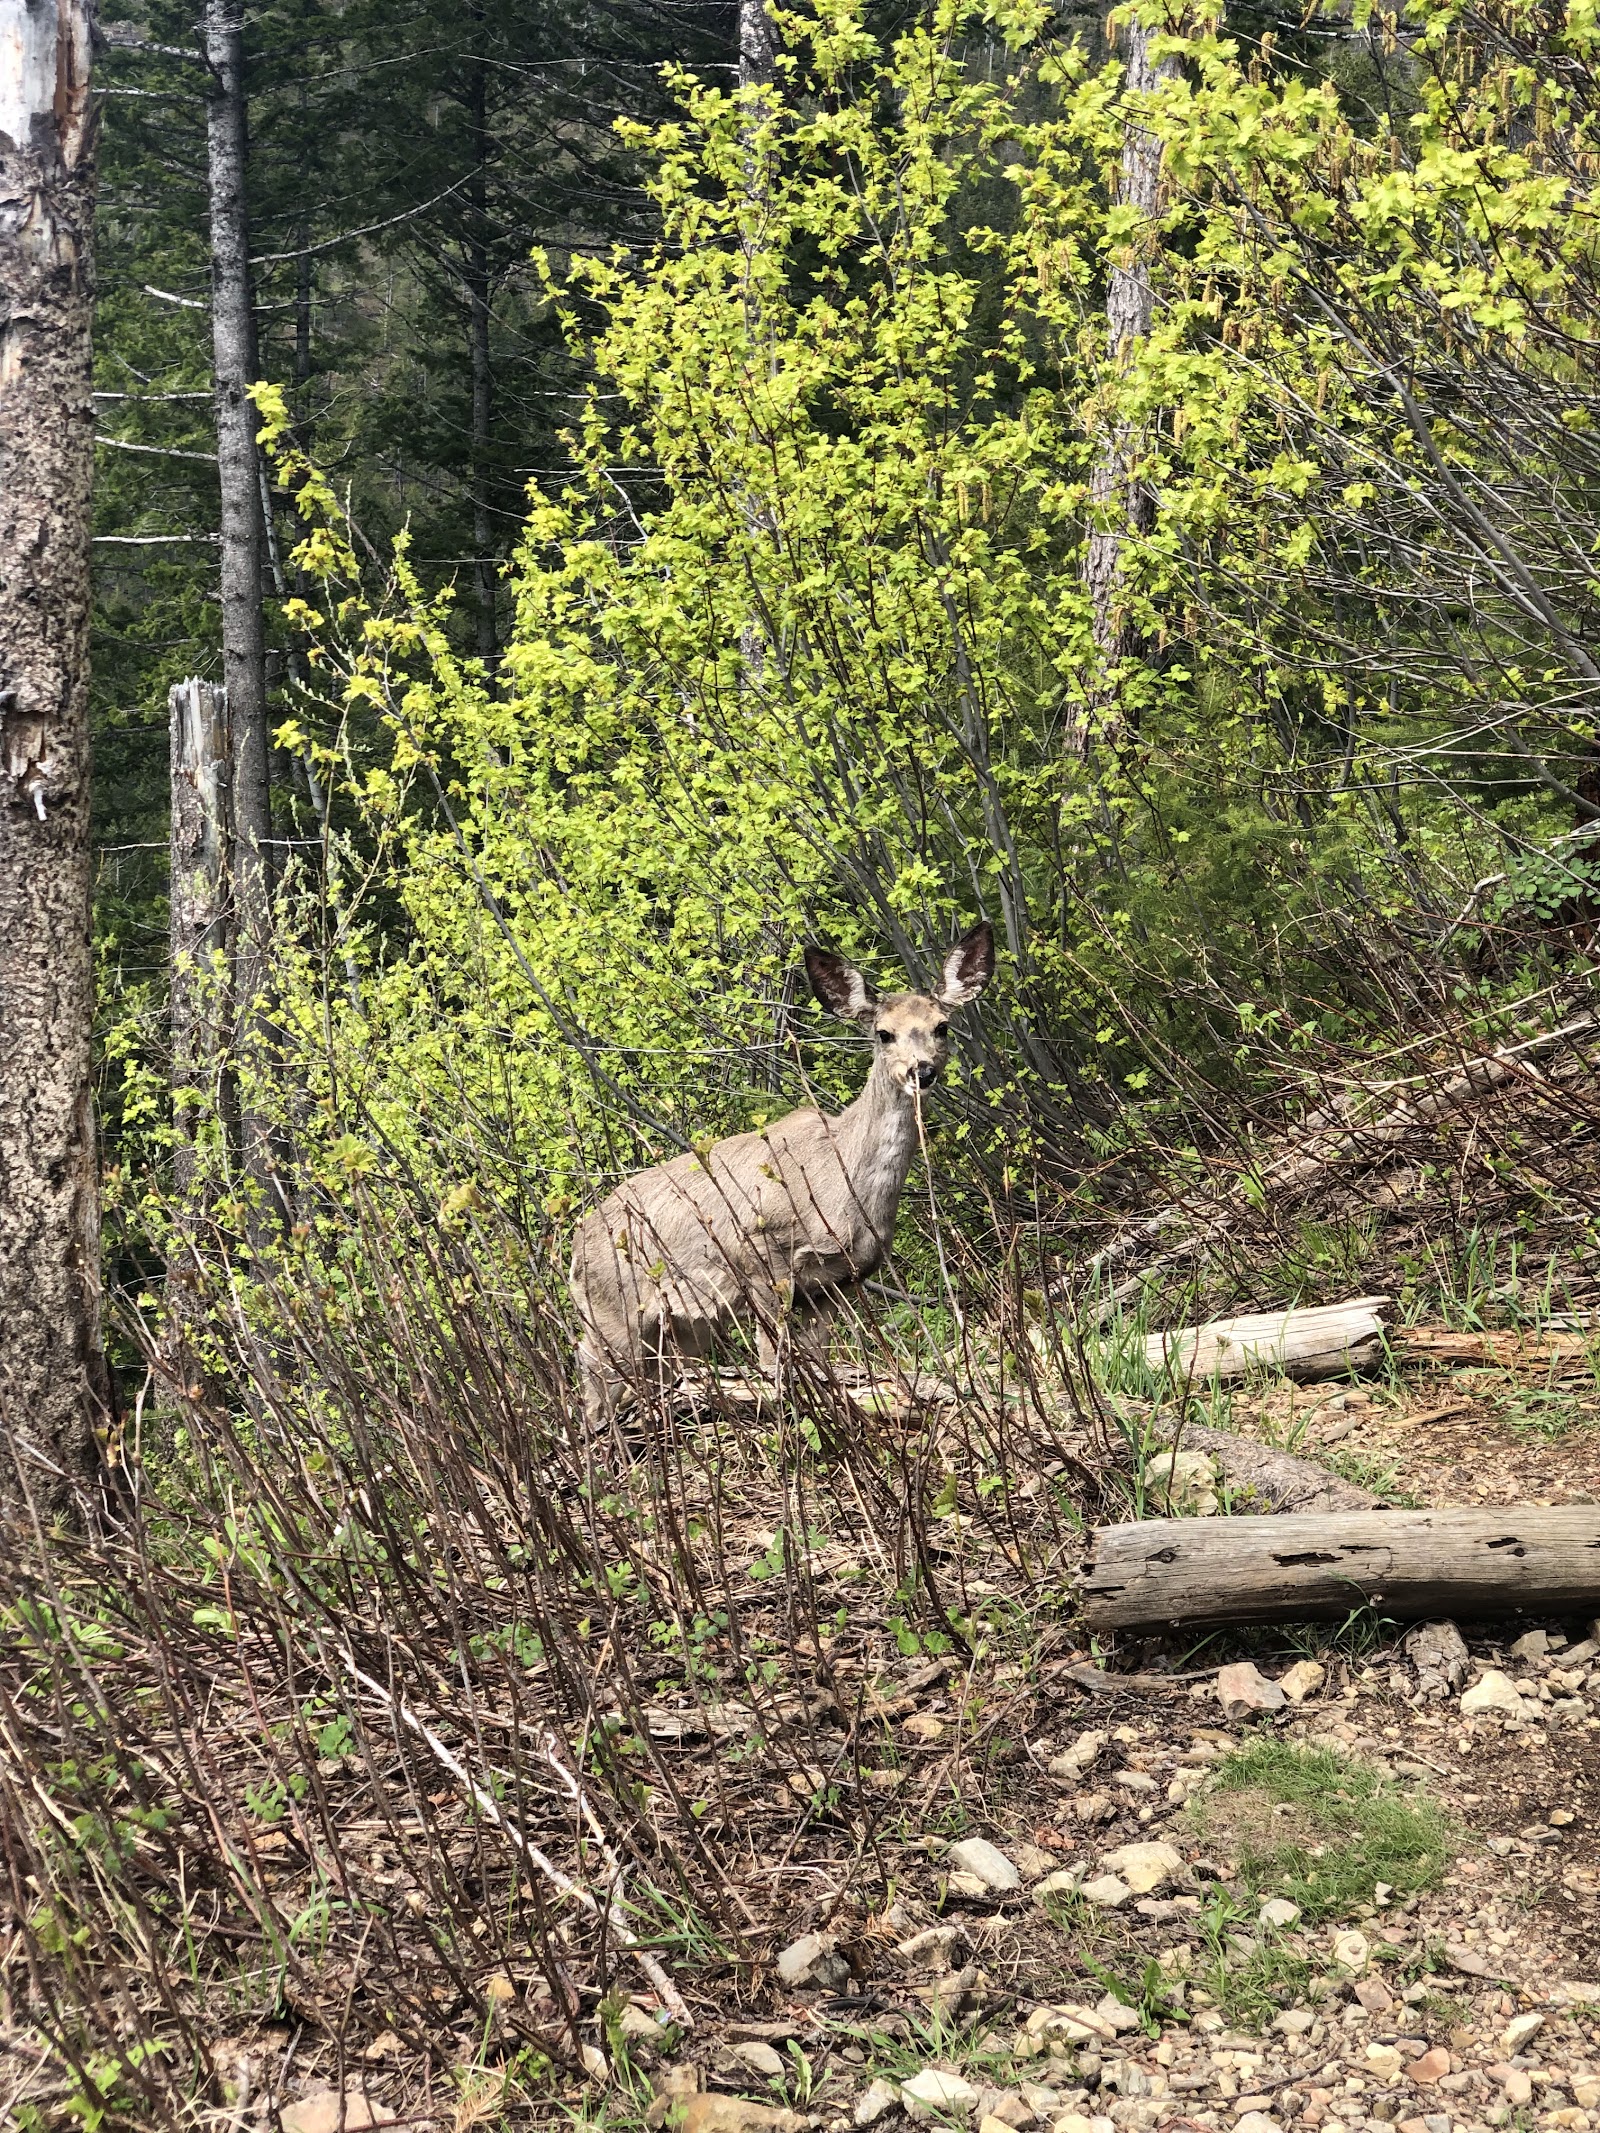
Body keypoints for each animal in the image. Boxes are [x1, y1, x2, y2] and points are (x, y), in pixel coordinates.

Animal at [568, 922, 995, 1426]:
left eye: (941, 1026)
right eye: (883, 1034)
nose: (921, 1071)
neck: (845, 1188)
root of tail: (572, 1251)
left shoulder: (835, 1283)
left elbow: (819, 1363)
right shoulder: (760, 1257)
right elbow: (775, 1368)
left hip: (674, 1331)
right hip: (613, 1312)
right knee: (590, 1375)